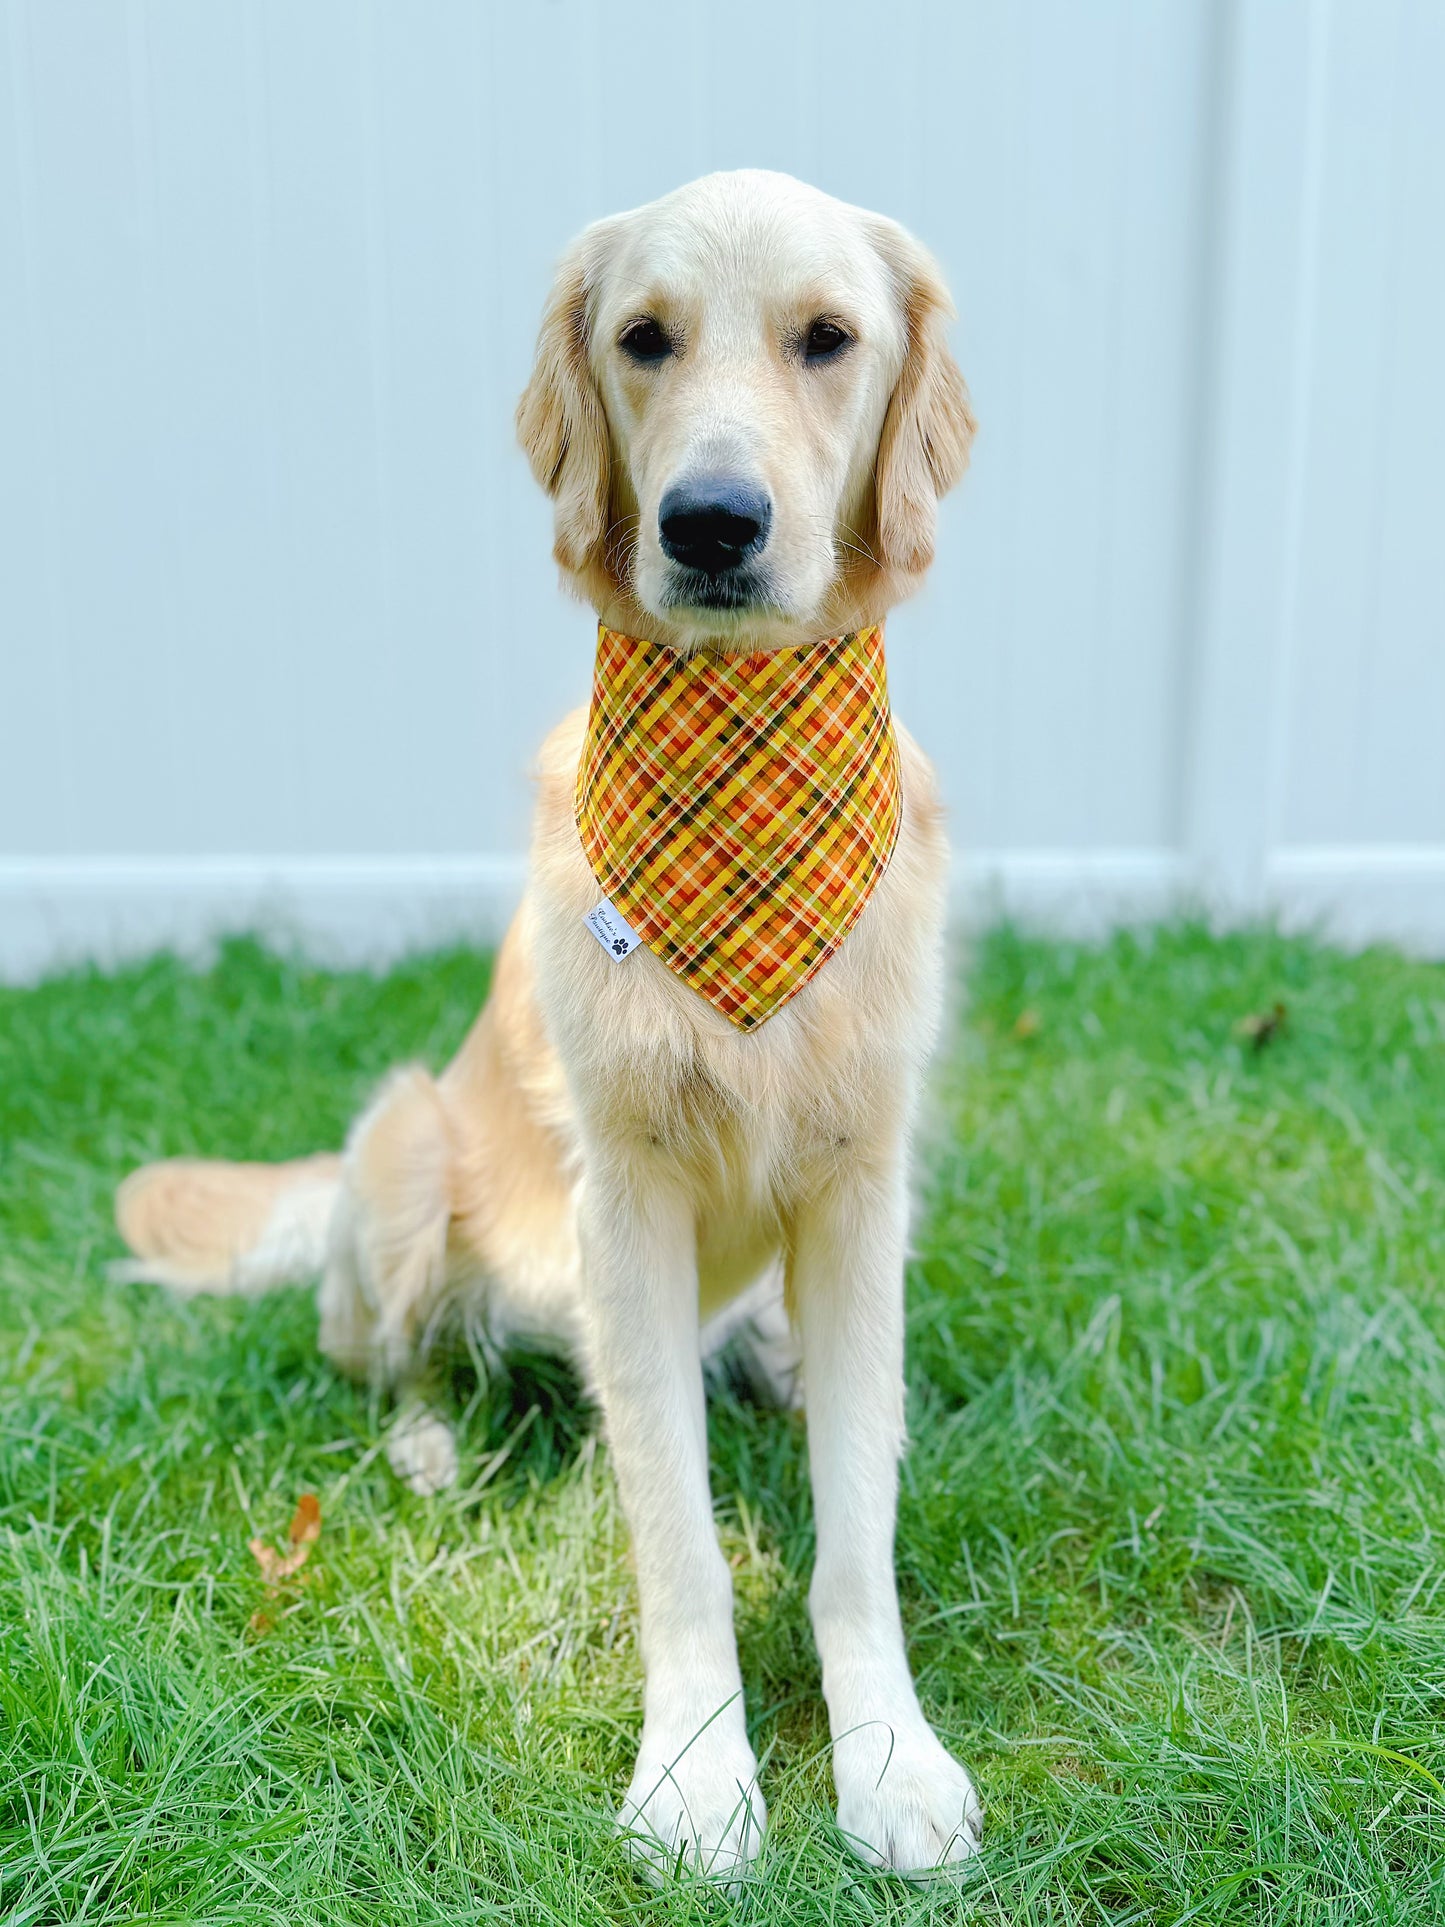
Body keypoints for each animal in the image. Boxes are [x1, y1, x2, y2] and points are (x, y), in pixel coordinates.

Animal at [118, 169, 986, 1880]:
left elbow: (856, 1524)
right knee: (388, 1362)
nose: (710, 522)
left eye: (827, 339)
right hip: (397, 1156)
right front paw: (698, 1774)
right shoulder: (623, 1202)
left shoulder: (862, 1183)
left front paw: (888, 1755)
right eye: (645, 337)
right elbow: (679, 1539)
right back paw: (431, 1447)